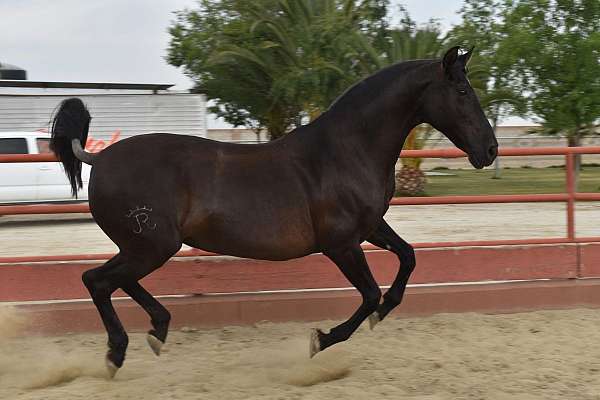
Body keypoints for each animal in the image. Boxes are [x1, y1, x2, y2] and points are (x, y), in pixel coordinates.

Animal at [49, 47, 496, 378]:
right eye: (462, 92)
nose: (490, 150)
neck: (346, 150)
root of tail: (97, 157)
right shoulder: (341, 244)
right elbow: (369, 295)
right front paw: (321, 340)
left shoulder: (370, 227)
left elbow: (408, 257)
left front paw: (387, 309)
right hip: (152, 245)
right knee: (98, 280)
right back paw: (118, 353)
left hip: (146, 246)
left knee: (112, 279)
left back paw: (156, 330)